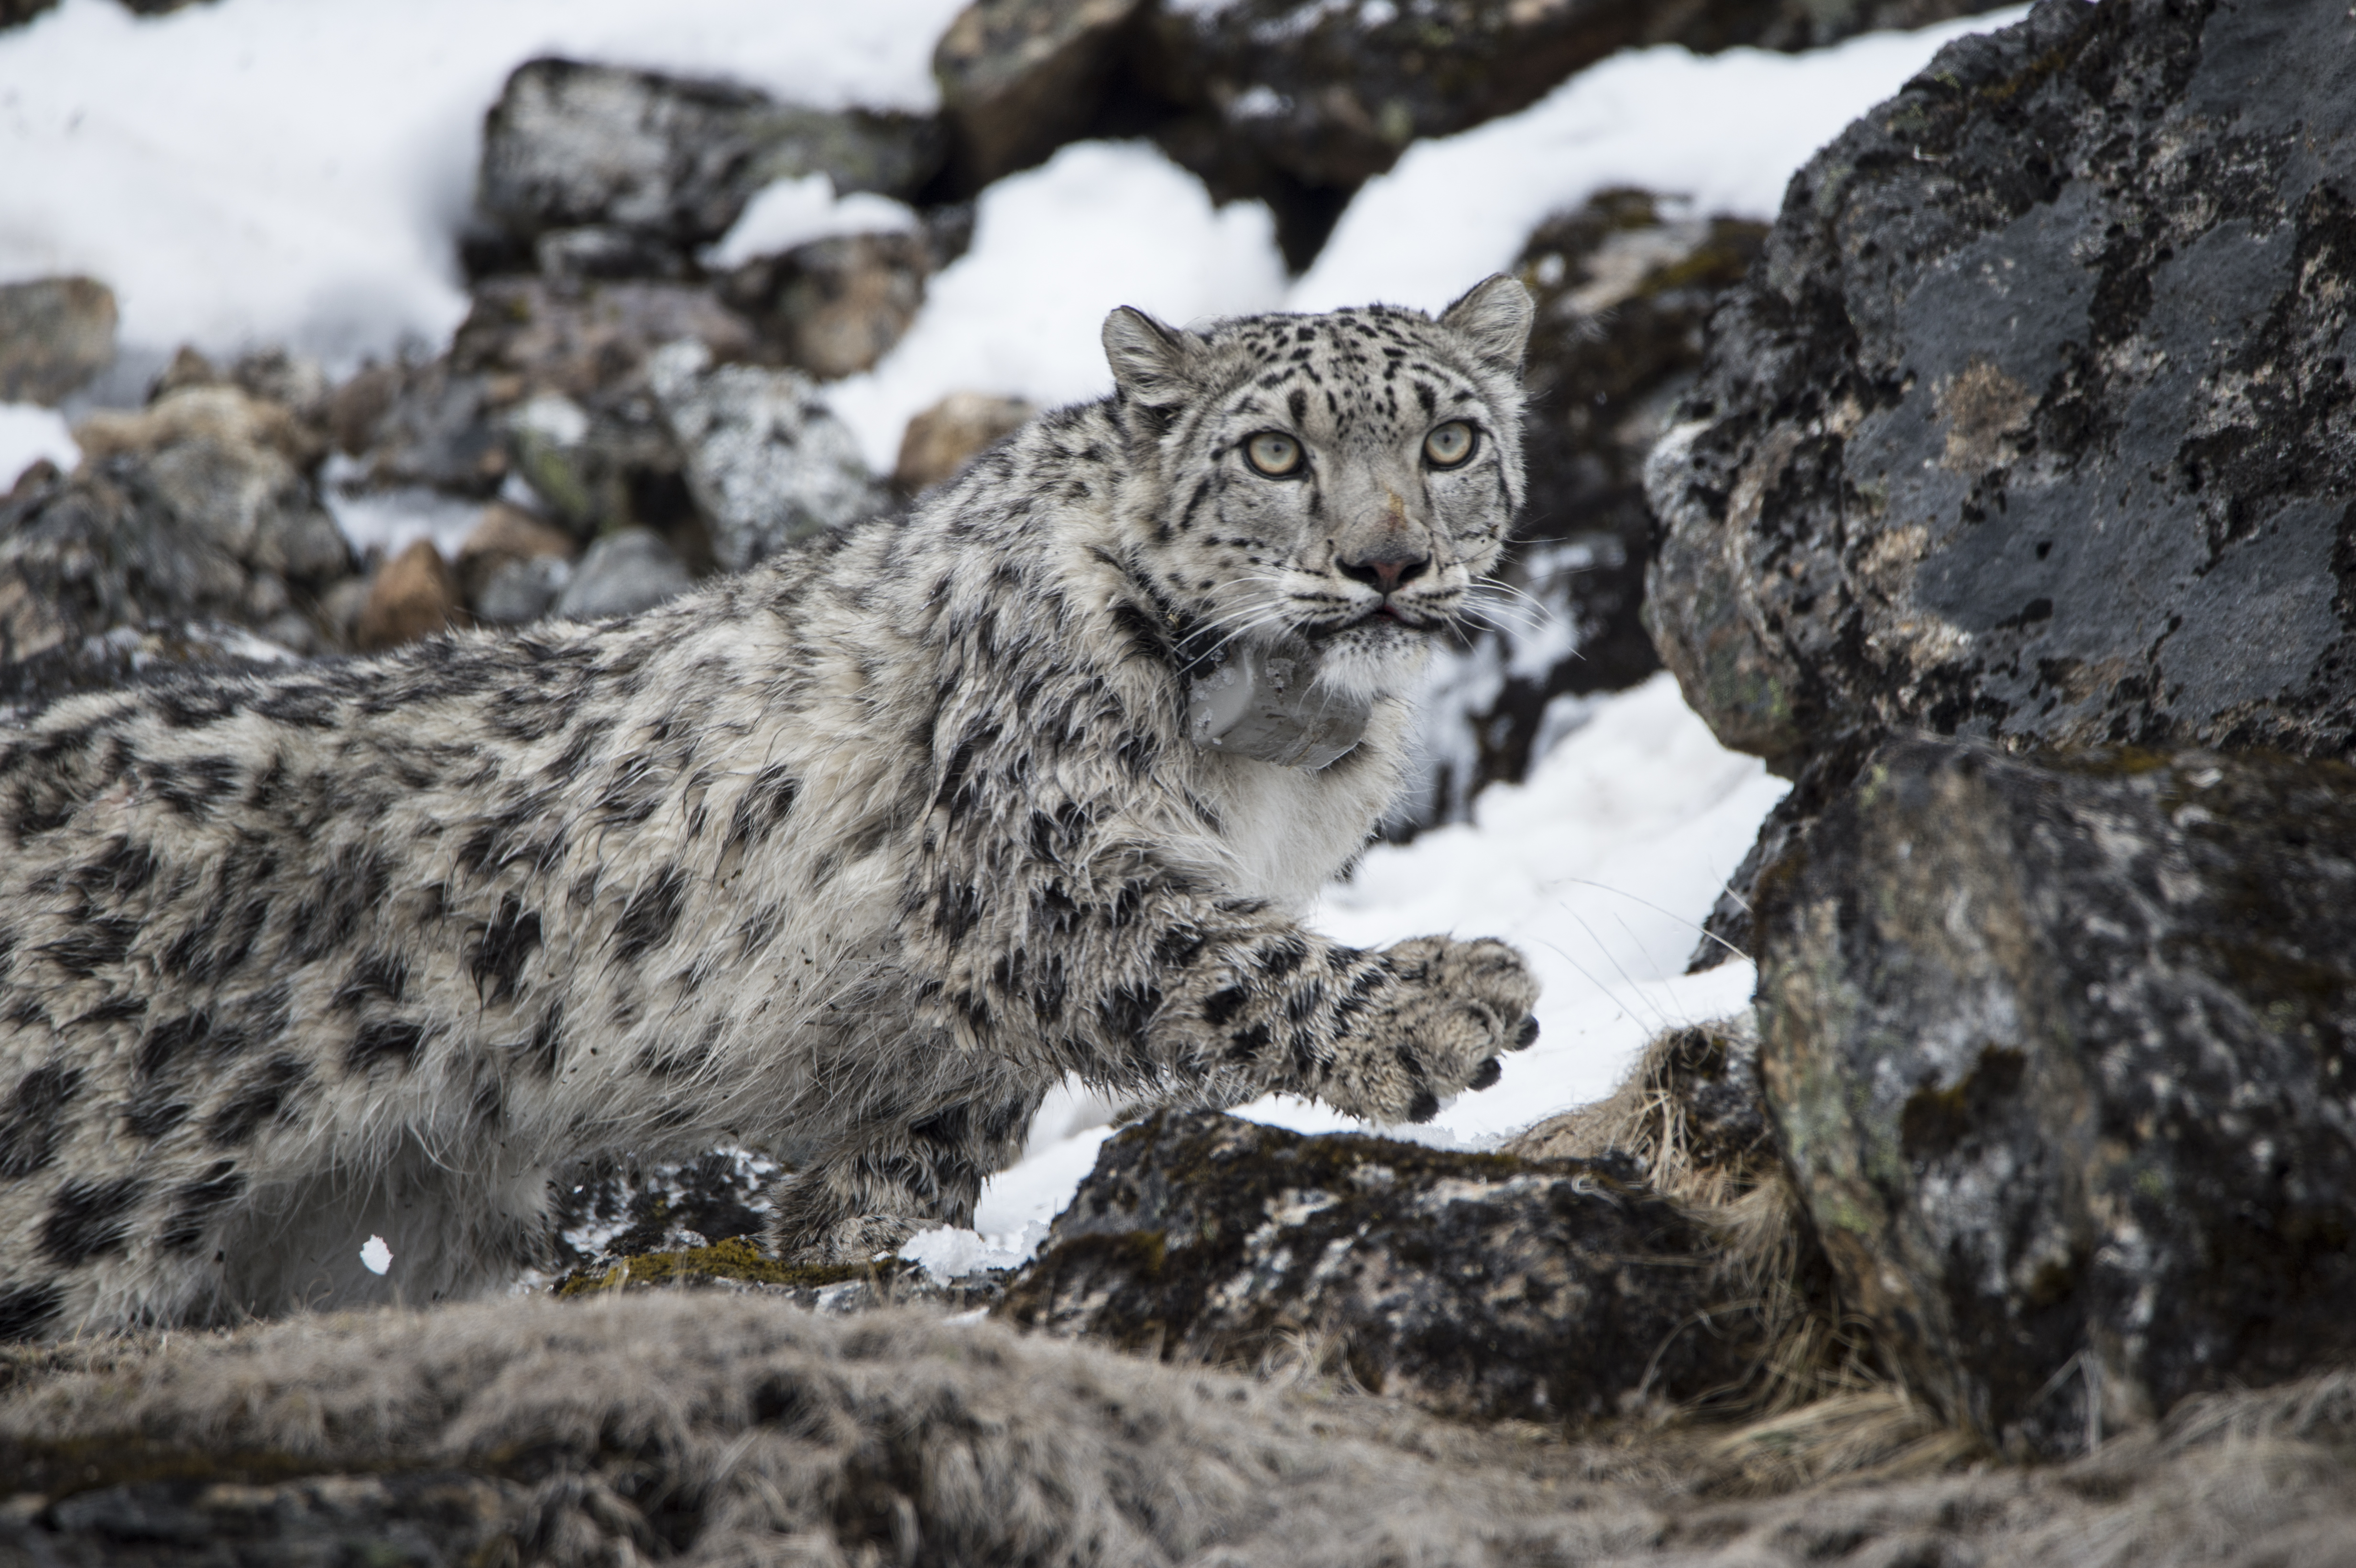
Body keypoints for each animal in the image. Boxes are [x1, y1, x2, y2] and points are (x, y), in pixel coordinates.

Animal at [0, 276, 1543, 1339]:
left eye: (1451, 440)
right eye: (1276, 454)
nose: (1388, 561)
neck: (1283, 758)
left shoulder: (954, 1058)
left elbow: (904, 1170)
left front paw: (847, 1248)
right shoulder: (1039, 866)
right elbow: (1217, 960)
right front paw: (1442, 1005)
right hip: (74, 1192)